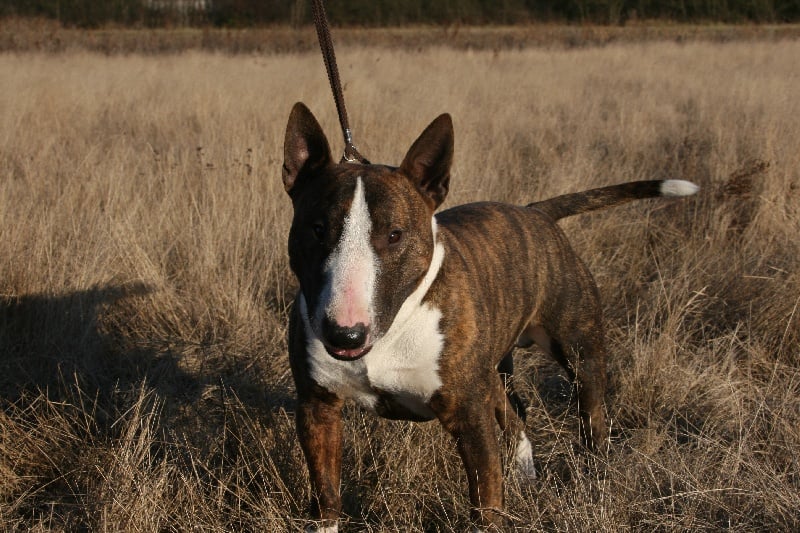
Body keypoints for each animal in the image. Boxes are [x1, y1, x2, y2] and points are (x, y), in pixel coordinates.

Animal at [282, 102, 698, 531]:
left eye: (395, 234)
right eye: (317, 229)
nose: (344, 335)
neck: (391, 330)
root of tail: (536, 213)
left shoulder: (471, 417)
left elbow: (486, 500)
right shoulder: (317, 408)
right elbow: (326, 493)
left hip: (579, 351)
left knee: (591, 415)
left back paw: (595, 476)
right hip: (494, 370)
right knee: (516, 413)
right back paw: (527, 473)